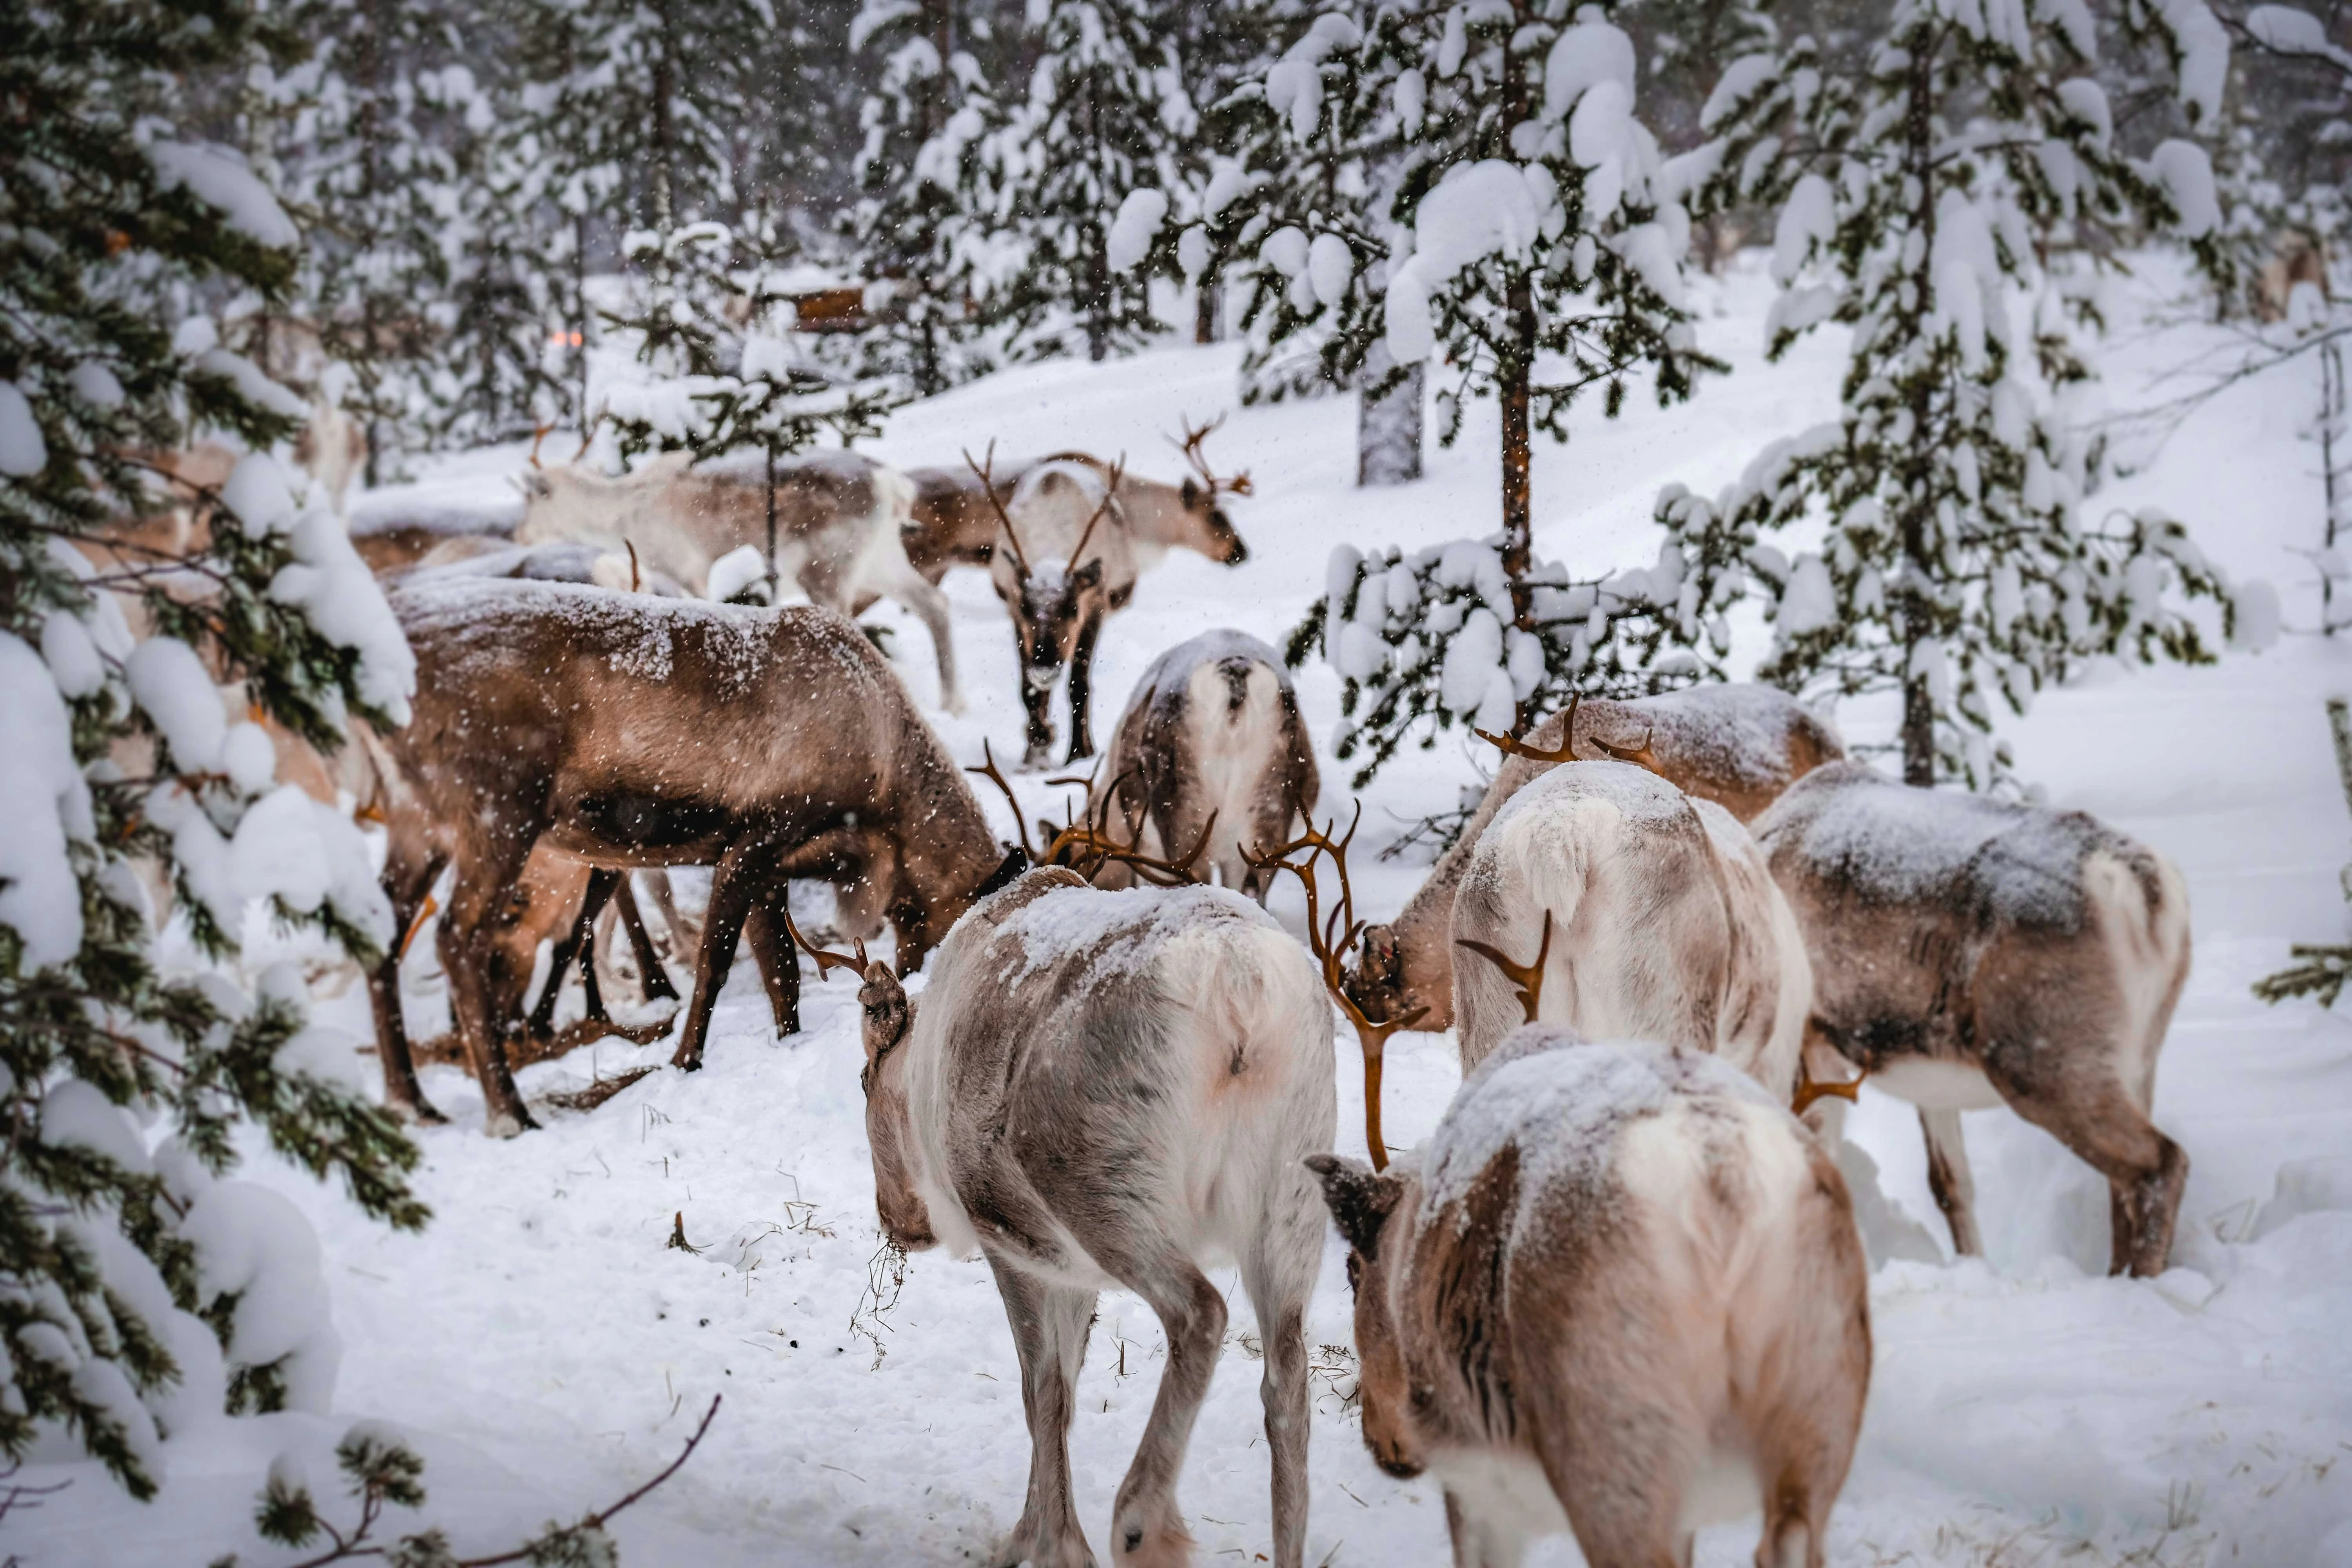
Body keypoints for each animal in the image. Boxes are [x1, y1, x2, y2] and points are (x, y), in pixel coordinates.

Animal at [367, 577, 1023, 1134]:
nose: (908, 988)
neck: (885, 784)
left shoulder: (775, 867)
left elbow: (781, 970)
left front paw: (786, 1039)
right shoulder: (756, 837)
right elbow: (717, 963)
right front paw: (685, 1059)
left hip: (417, 822)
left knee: (384, 936)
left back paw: (411, 1101)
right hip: (500, 813)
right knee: (457, 939)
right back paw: (509, 1112)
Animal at [515, 447, 967, 713]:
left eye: (533, 497)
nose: (520, 535)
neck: (620, 518)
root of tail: (894, 485)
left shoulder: (691, 571)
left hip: (830, 568)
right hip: (882, 561)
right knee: (935, 603)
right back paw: (952, 705)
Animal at [816, 860, 1334, 1568]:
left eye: (864, 1080)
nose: (896, 1221)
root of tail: (1238, 991)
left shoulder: (1013, 1241)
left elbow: (1042, 1392)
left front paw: (1051, 1543)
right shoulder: (1075, 1272)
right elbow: (1065, 1389)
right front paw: (1031, 1536)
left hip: (1098, 1182)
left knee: (1201, 1313)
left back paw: (1139, 1521)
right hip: (1292, 1192)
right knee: (1287, 1379)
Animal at [1307, 1014, 1871, 1568]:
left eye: (1353, 1270)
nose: (1381, 1442)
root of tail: (1719, 1170)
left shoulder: (1474, 1478)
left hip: (1615, 1452)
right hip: (1817, 1423)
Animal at [1751, 761, 2195, 1276]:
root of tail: (2141, 887)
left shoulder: (1806, 1041)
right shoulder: (1925, 1081)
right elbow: (1949, 1184)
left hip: (2042, 1063)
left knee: (2158, 1165)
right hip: (2138, 1060)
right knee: (2121, 1183)